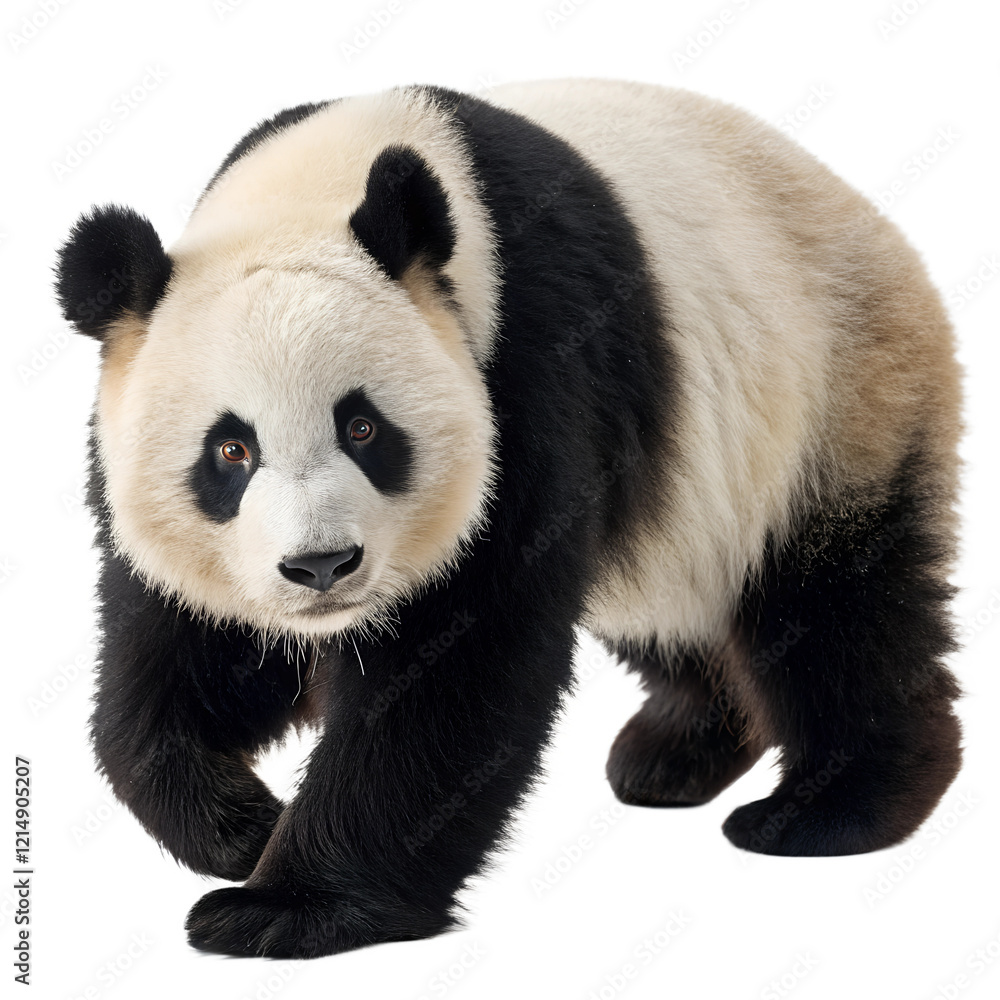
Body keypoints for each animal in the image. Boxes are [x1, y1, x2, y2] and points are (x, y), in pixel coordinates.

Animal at [55, 79, 964, 959]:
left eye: (364, 428)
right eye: (231, 450)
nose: (322, 567)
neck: (314, 188)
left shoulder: (531, 374)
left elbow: (458, 670)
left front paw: (286, 909)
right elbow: (185, 654)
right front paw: (241, 828)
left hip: (841, 390)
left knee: (837, 608)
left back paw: (832, 807)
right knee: (675, 600)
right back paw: (674, 753)